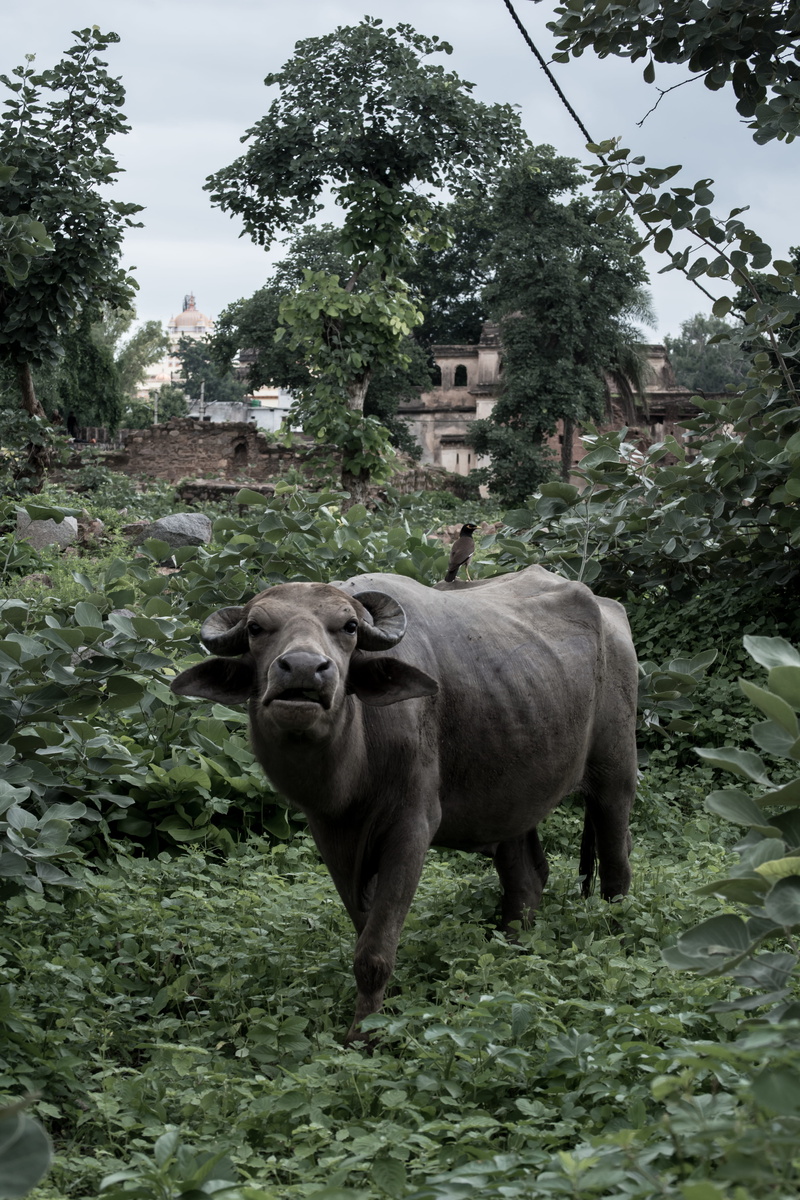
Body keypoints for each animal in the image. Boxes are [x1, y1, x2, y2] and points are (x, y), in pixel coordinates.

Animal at [170, 565, 638, 1043]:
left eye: (349, 627)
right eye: (255, 628)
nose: (302, 668)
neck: (358, 762)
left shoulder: (411, 827)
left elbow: (375, 951)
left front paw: (364, 1034)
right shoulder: (330, 834)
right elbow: (365, 930)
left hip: (615, 771)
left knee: (616, 866)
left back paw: (617, 939)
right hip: (513, 797)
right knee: (526, 880)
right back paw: (510, 953)